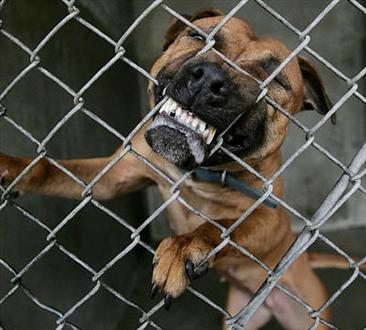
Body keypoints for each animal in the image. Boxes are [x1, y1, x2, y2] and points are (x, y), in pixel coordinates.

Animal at [0, 9, 356, 328]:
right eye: (198, 37)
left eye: (276, 80)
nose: (209, 79)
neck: (195, 175)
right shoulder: (115, 176)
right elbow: (52, 167)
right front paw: (14, 166)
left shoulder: (270, 218)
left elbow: (223, 225)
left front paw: (186, 244)